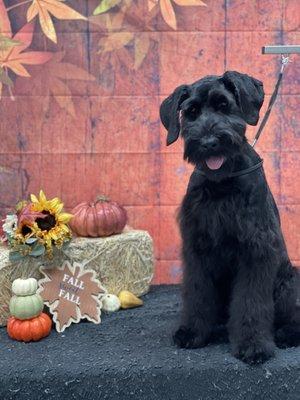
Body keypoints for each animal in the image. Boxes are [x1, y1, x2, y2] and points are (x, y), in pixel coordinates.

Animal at [161, 70, 300, 364]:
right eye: (191, 112)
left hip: (286, 280)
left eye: (223, 105)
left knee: (289, 316)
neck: (222, 183)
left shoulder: (256, 250)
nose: (209, 143)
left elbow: (251, 302)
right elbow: (197, 292)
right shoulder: (197, 247)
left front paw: (253, 344)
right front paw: (193, 332)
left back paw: (287, 334)